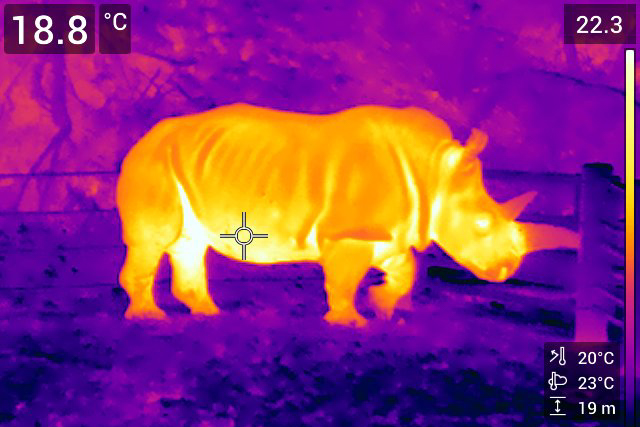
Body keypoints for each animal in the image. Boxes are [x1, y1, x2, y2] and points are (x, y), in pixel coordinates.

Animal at [116, 103, 578, 326]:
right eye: (482, 225)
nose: (506, 270)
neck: (435, 172)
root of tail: (143, 137)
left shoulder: (389, 232)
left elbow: (404, 271)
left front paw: (382, 307)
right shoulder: (349, 233)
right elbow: (343, 279)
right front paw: (349, 322)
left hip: (182, 160)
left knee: (189, 242)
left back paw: (209, 314)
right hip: (154, 161)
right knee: (155, 239)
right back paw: (149, 318)